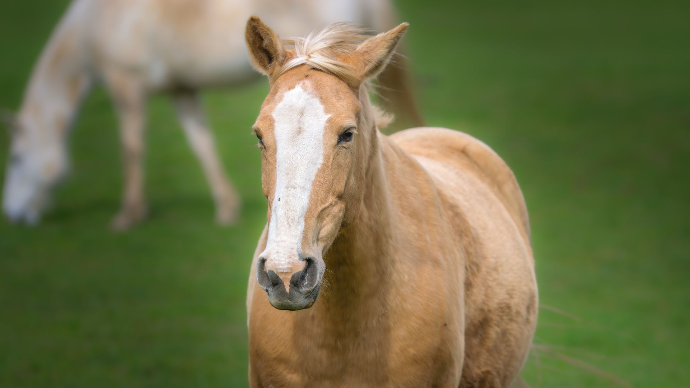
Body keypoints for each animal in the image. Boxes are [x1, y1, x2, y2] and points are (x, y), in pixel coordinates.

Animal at [1, 0, 420, 230]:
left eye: (17, 158)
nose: (12, 214)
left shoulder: (126, 83)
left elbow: (131, 147)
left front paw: (128, 215)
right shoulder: (181, 90)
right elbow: (201, 144)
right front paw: (226, 207)